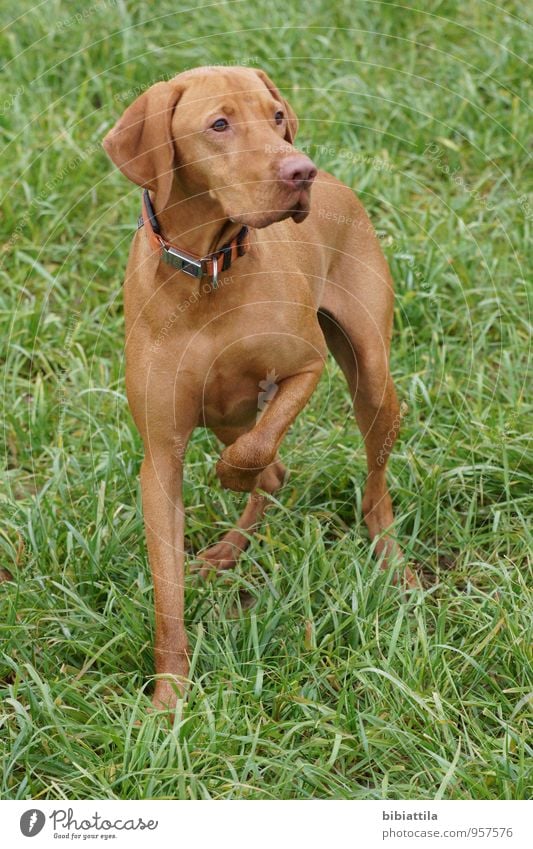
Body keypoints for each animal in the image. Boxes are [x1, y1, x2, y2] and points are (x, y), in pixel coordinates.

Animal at [102, 66, 414, 712]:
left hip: (372, 379)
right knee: (274, 475)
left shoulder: (304, 368)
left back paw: (392, 564)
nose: (302, 172)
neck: (206, 274)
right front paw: (168, 699)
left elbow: (255, 451)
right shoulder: (161, 457)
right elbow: (167, 593)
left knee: (372, 488)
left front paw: (229, 474)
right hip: (228, 413)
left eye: (275, 117)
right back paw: (226, 550)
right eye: (219, 124)